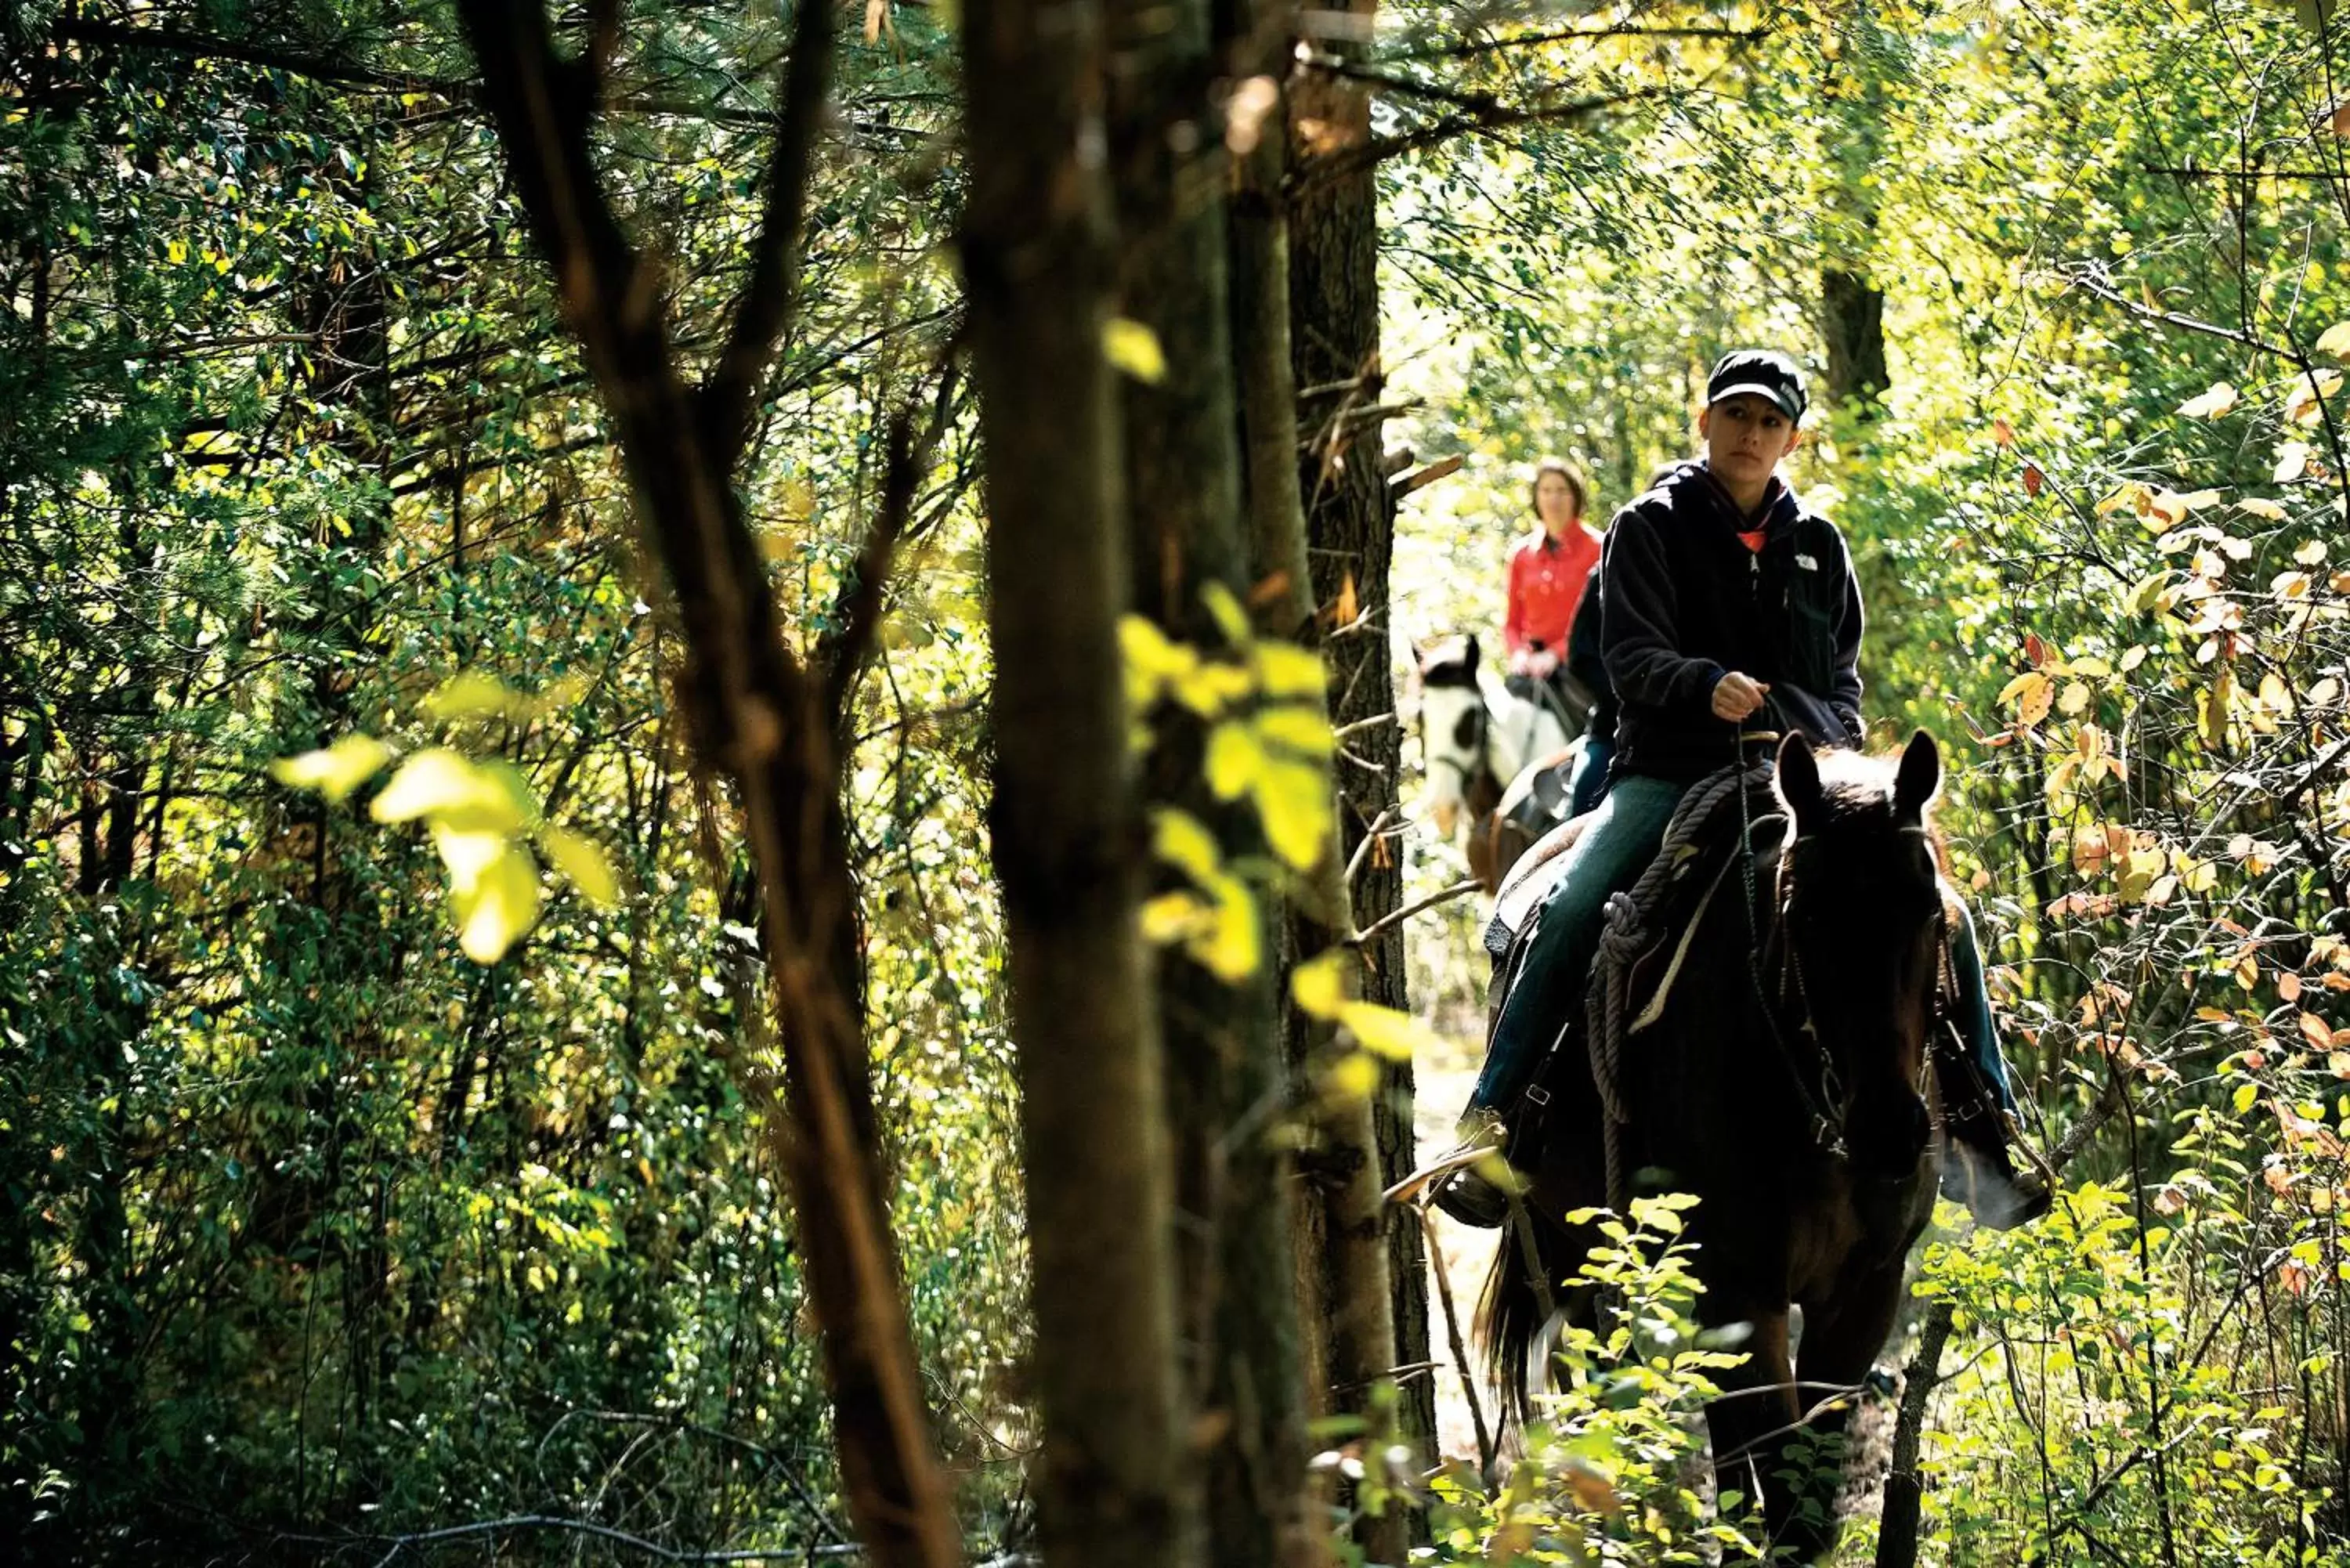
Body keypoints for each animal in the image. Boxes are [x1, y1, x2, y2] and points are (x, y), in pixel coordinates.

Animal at [1485, 738, 1946, 1568]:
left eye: (1928, 908)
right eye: (1803, 916)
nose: (1890, 1132)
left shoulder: (1866, 1289)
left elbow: (1805, 1498)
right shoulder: (1745, 1290)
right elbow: (1784, 1488)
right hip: (1569, 1241)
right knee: (1587, 1371)